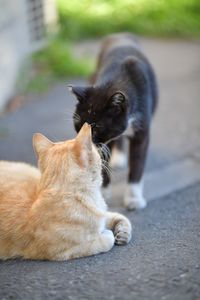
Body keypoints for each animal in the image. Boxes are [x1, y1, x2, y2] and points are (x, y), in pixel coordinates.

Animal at [0, 122, 131, 260]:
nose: (101, 148)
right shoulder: (63, 252)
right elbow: (106, 239)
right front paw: (107, 232)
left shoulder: (103, 214)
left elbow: (120, 217)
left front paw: (123, 232)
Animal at [69, 32, 158, 210]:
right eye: (78, 125)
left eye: (96, 128)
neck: (119, 79)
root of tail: (120, 33)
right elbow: (102, 161)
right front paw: (102, 194)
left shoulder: (142, 131)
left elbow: (138, 162)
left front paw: (134, 199)